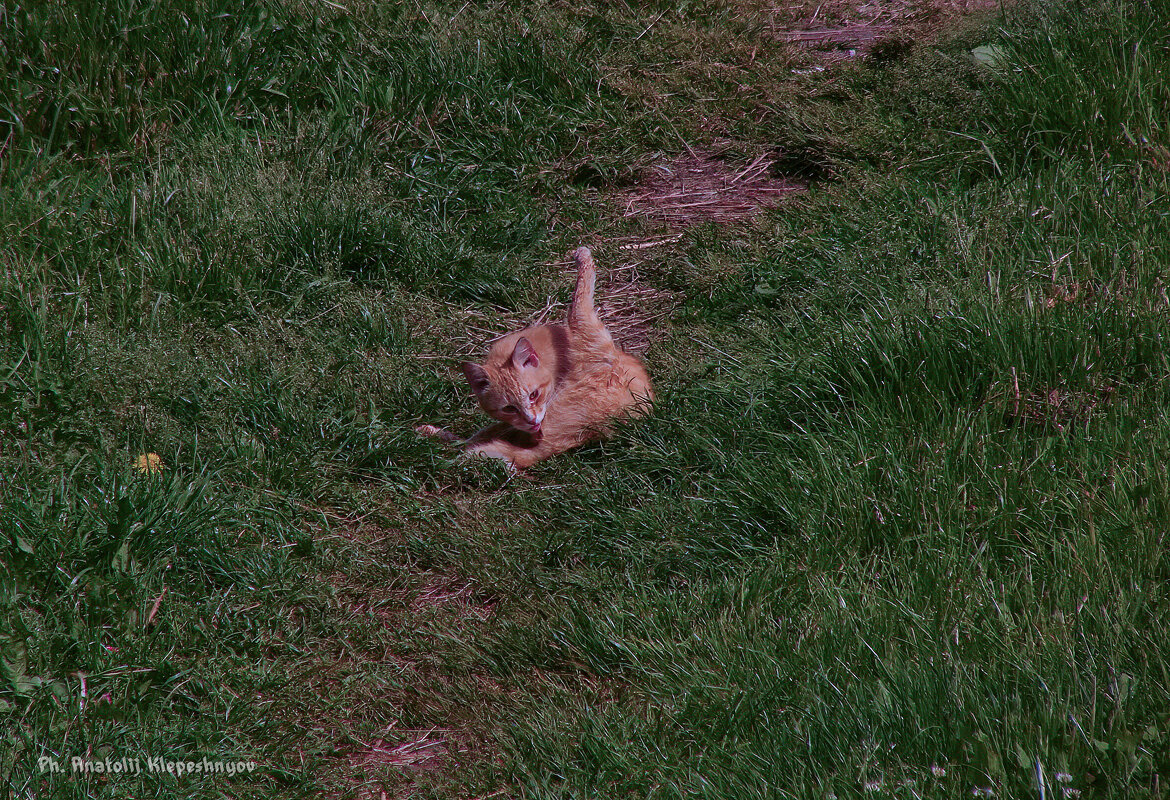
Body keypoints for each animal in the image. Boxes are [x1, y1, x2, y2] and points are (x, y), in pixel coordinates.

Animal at [416, 245, 655, 467]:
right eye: (509, 408)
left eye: (533, 395)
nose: (531, 421)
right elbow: (581, 294)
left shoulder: (591, 336)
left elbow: (581, 294)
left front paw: (582, 255)